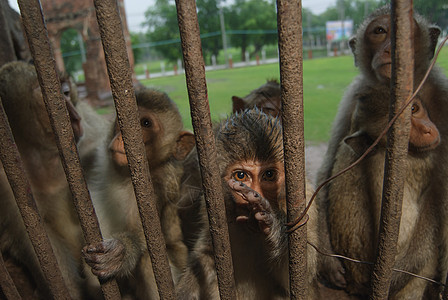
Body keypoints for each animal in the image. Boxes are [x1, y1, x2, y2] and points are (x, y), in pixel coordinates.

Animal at [83, 86, 195, 298]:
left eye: (145, 123)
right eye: (121, 121)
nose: (121, 138)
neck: (126, 176)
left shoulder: (157, 186)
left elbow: (144, 236)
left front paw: (121, 252)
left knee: (147, 261)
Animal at [176, 108, 322, 300]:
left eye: (269, 175)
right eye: (240, 176)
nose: (255, 196)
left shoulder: (306, 200)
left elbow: (297, 279)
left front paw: (273, 227)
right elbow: (205, 254)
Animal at [316, 4, 444, 290]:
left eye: (404, 33)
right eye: (380, 31)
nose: (390, 49)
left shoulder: (442, 94)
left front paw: (393, 277)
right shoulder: (356, 93)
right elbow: (328, 164)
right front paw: (327, 260)